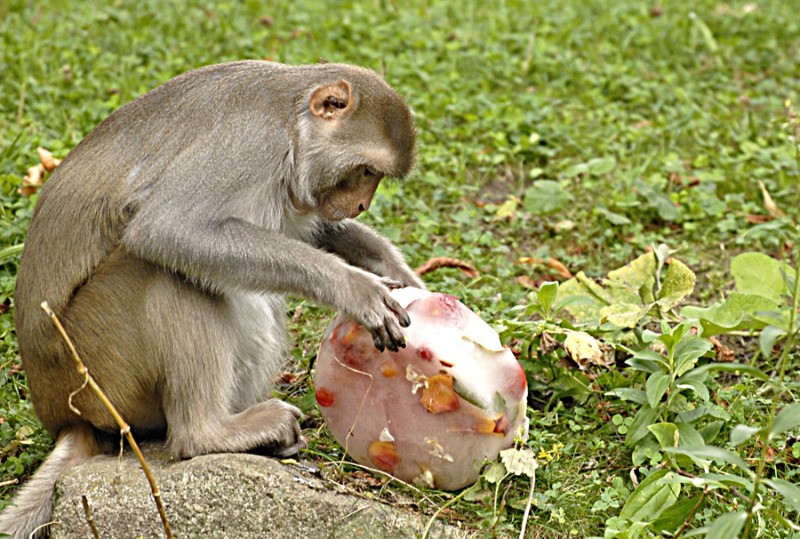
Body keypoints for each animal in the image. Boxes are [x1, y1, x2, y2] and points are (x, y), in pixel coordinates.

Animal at [1, 61, 424, 536]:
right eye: (367, 171)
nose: (363, 204)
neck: (291, 119)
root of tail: (65, 418)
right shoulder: (253, 145)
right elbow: (169, 229)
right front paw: (353, 287)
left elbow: (311, 229)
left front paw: (398, 272)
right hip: (95, 366)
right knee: (165, 269)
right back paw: (209, 434)